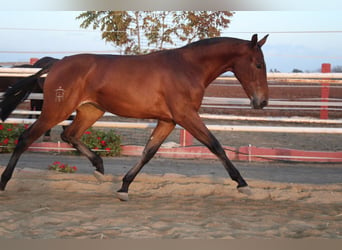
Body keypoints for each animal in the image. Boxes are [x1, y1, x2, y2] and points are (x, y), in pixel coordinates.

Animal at [0, 33, 270, 201]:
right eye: (258, 64)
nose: (262, 102)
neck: (187, 68)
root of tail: (57, 63)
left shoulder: (168, 120)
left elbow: (148, 152)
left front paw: (123, 187)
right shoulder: (185, 115)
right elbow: (215, 145)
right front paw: (243, 185)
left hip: (90, 110)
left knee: (69, 134)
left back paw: (99, 169)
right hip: (56, 110)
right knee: (26, 138)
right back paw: (4, 183)